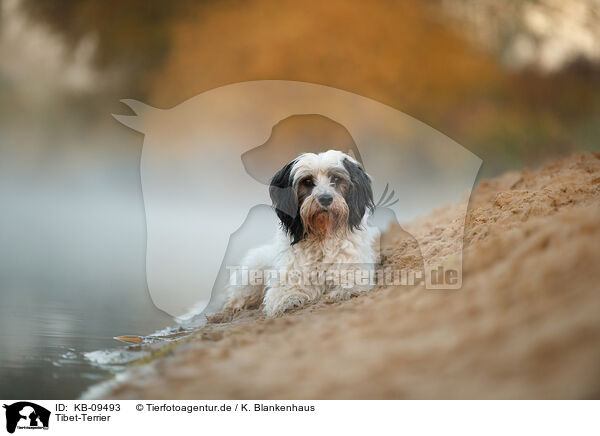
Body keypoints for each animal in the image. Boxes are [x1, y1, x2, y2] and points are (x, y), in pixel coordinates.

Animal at [223, 150, 378, 316]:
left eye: (336, 178)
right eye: (307, 181)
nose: (325, 199)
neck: (322, 235)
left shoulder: (353, 270)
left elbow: (350, 283)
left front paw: (343, 292)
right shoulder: (287, 280)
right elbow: (285, 293)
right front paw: (289, 300)